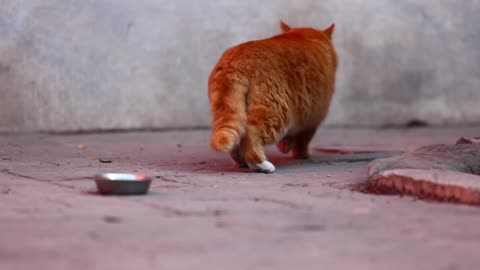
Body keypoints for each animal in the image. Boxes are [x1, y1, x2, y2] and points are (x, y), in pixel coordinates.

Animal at [207, 21, 338, 173]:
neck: (304, 36)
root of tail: (234, 62)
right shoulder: (312, 117)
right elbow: (302, 140)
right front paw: (301, 154)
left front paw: (285, 146)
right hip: (278, 111)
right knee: (250, 132)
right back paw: (261, 165)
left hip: (231, 108)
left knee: (239, 137)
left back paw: (243, 162)